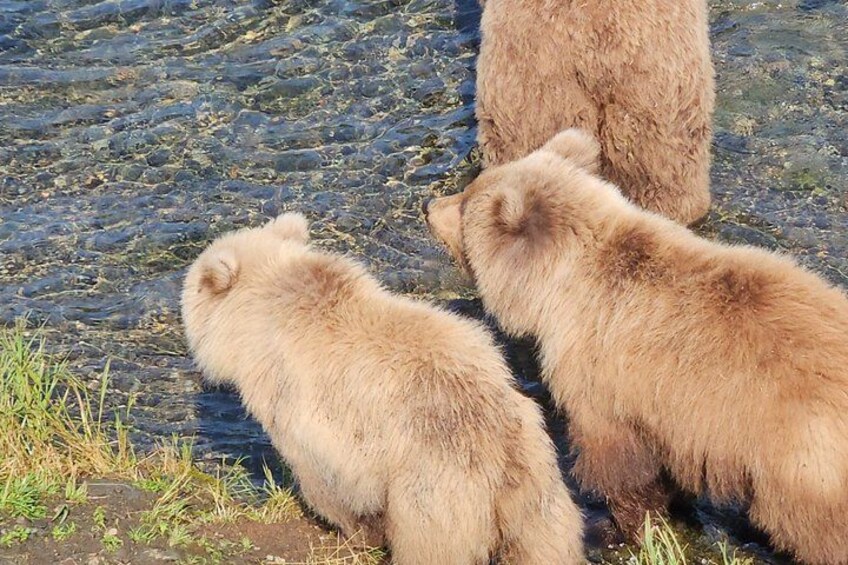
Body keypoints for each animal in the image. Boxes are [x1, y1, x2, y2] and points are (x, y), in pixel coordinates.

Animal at [181, 213, 584, 565]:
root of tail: (504, 456)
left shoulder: (301, 404)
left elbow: (324, 479)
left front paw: (354, 532)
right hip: (539, 487)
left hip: (436, 487)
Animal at [423, 129, 848, 564]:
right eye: (469, 189)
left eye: (466, 202)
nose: (429, 205)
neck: (558, 288)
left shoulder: (601, 374)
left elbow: (619, 462)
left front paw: (613, 526)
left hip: (804, 463)